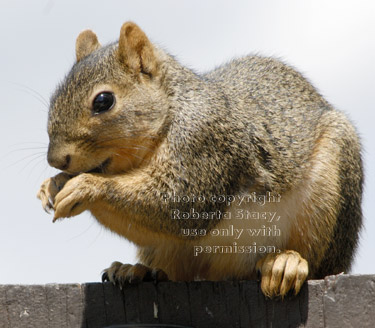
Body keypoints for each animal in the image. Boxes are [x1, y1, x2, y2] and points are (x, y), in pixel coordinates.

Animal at [36, 20, 362, 298]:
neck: (171, 110)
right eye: (53, 98)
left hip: (327, 199)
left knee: (317, 261)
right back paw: (137, 270)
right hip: (168, 251)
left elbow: (176, 202)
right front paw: (50, 185)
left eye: (103, 101)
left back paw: (287, 264)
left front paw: (86, 187)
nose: (57, 160)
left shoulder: (204, 145)